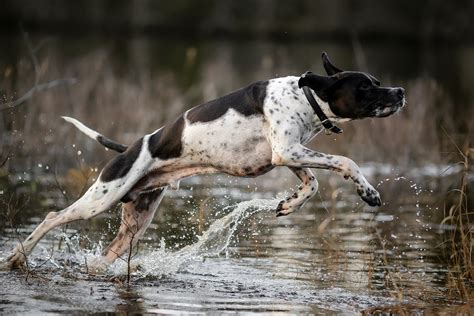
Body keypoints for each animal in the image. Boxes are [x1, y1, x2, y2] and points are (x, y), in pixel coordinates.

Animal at [1, 53, 406, 270]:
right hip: (101, 198)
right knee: (52, 217)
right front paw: (369, 193)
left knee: (105, 257)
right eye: (365, 86)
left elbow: (313, 183)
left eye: (377, 80)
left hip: (135, 221)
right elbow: (346, 161)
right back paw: (17, 256)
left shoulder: (290, 154)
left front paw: (289, 205)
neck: (305, 97)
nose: (401, 91)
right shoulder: (287, 151)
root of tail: (130, 148)